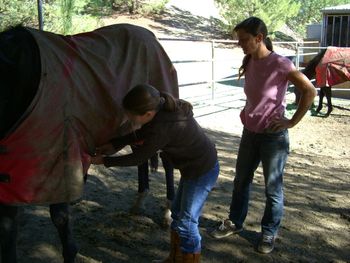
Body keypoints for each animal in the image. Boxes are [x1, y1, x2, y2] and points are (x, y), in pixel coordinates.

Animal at [0, 23, 179, 262]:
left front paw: (70, 252)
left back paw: (167, 213)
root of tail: (151, 36)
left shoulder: (61, 158)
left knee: (167, 163)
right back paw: (138, 203)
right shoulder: (10, 170)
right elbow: (8, 226)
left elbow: (60, 217)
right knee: (140, 157)